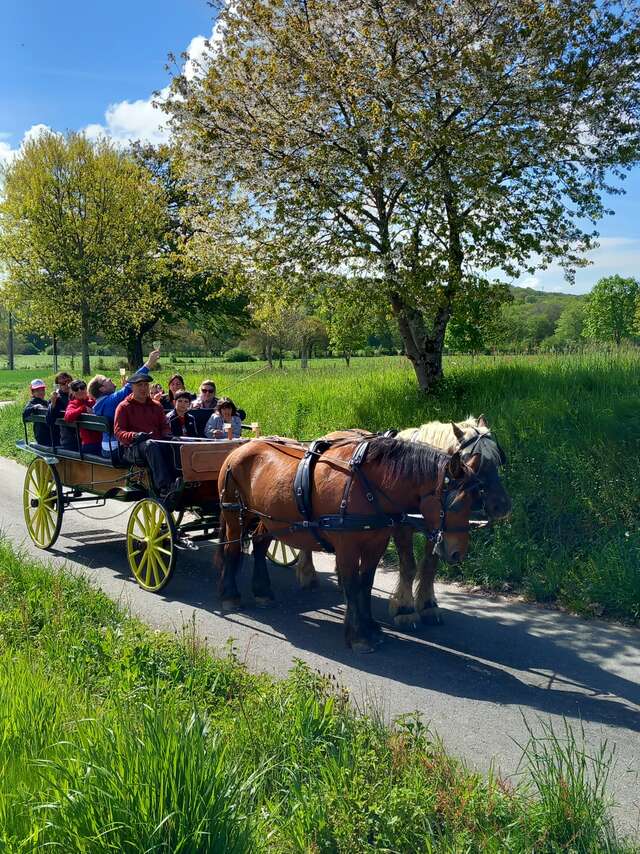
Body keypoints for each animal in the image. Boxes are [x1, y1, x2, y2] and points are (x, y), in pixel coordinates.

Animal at [216, 438, 480, 652]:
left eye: (474, 501)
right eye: (456, 503)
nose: (457, 553)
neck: (368, 486)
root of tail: (239, 449)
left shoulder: (376, 544)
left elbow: (365, 584)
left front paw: (370, 626)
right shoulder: (347, 548)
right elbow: (352, 586)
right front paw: (358, 635)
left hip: (269, 519)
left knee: (260, 545)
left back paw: (263, 592)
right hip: (235, 513)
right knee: (232, 550)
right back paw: (230, 595)